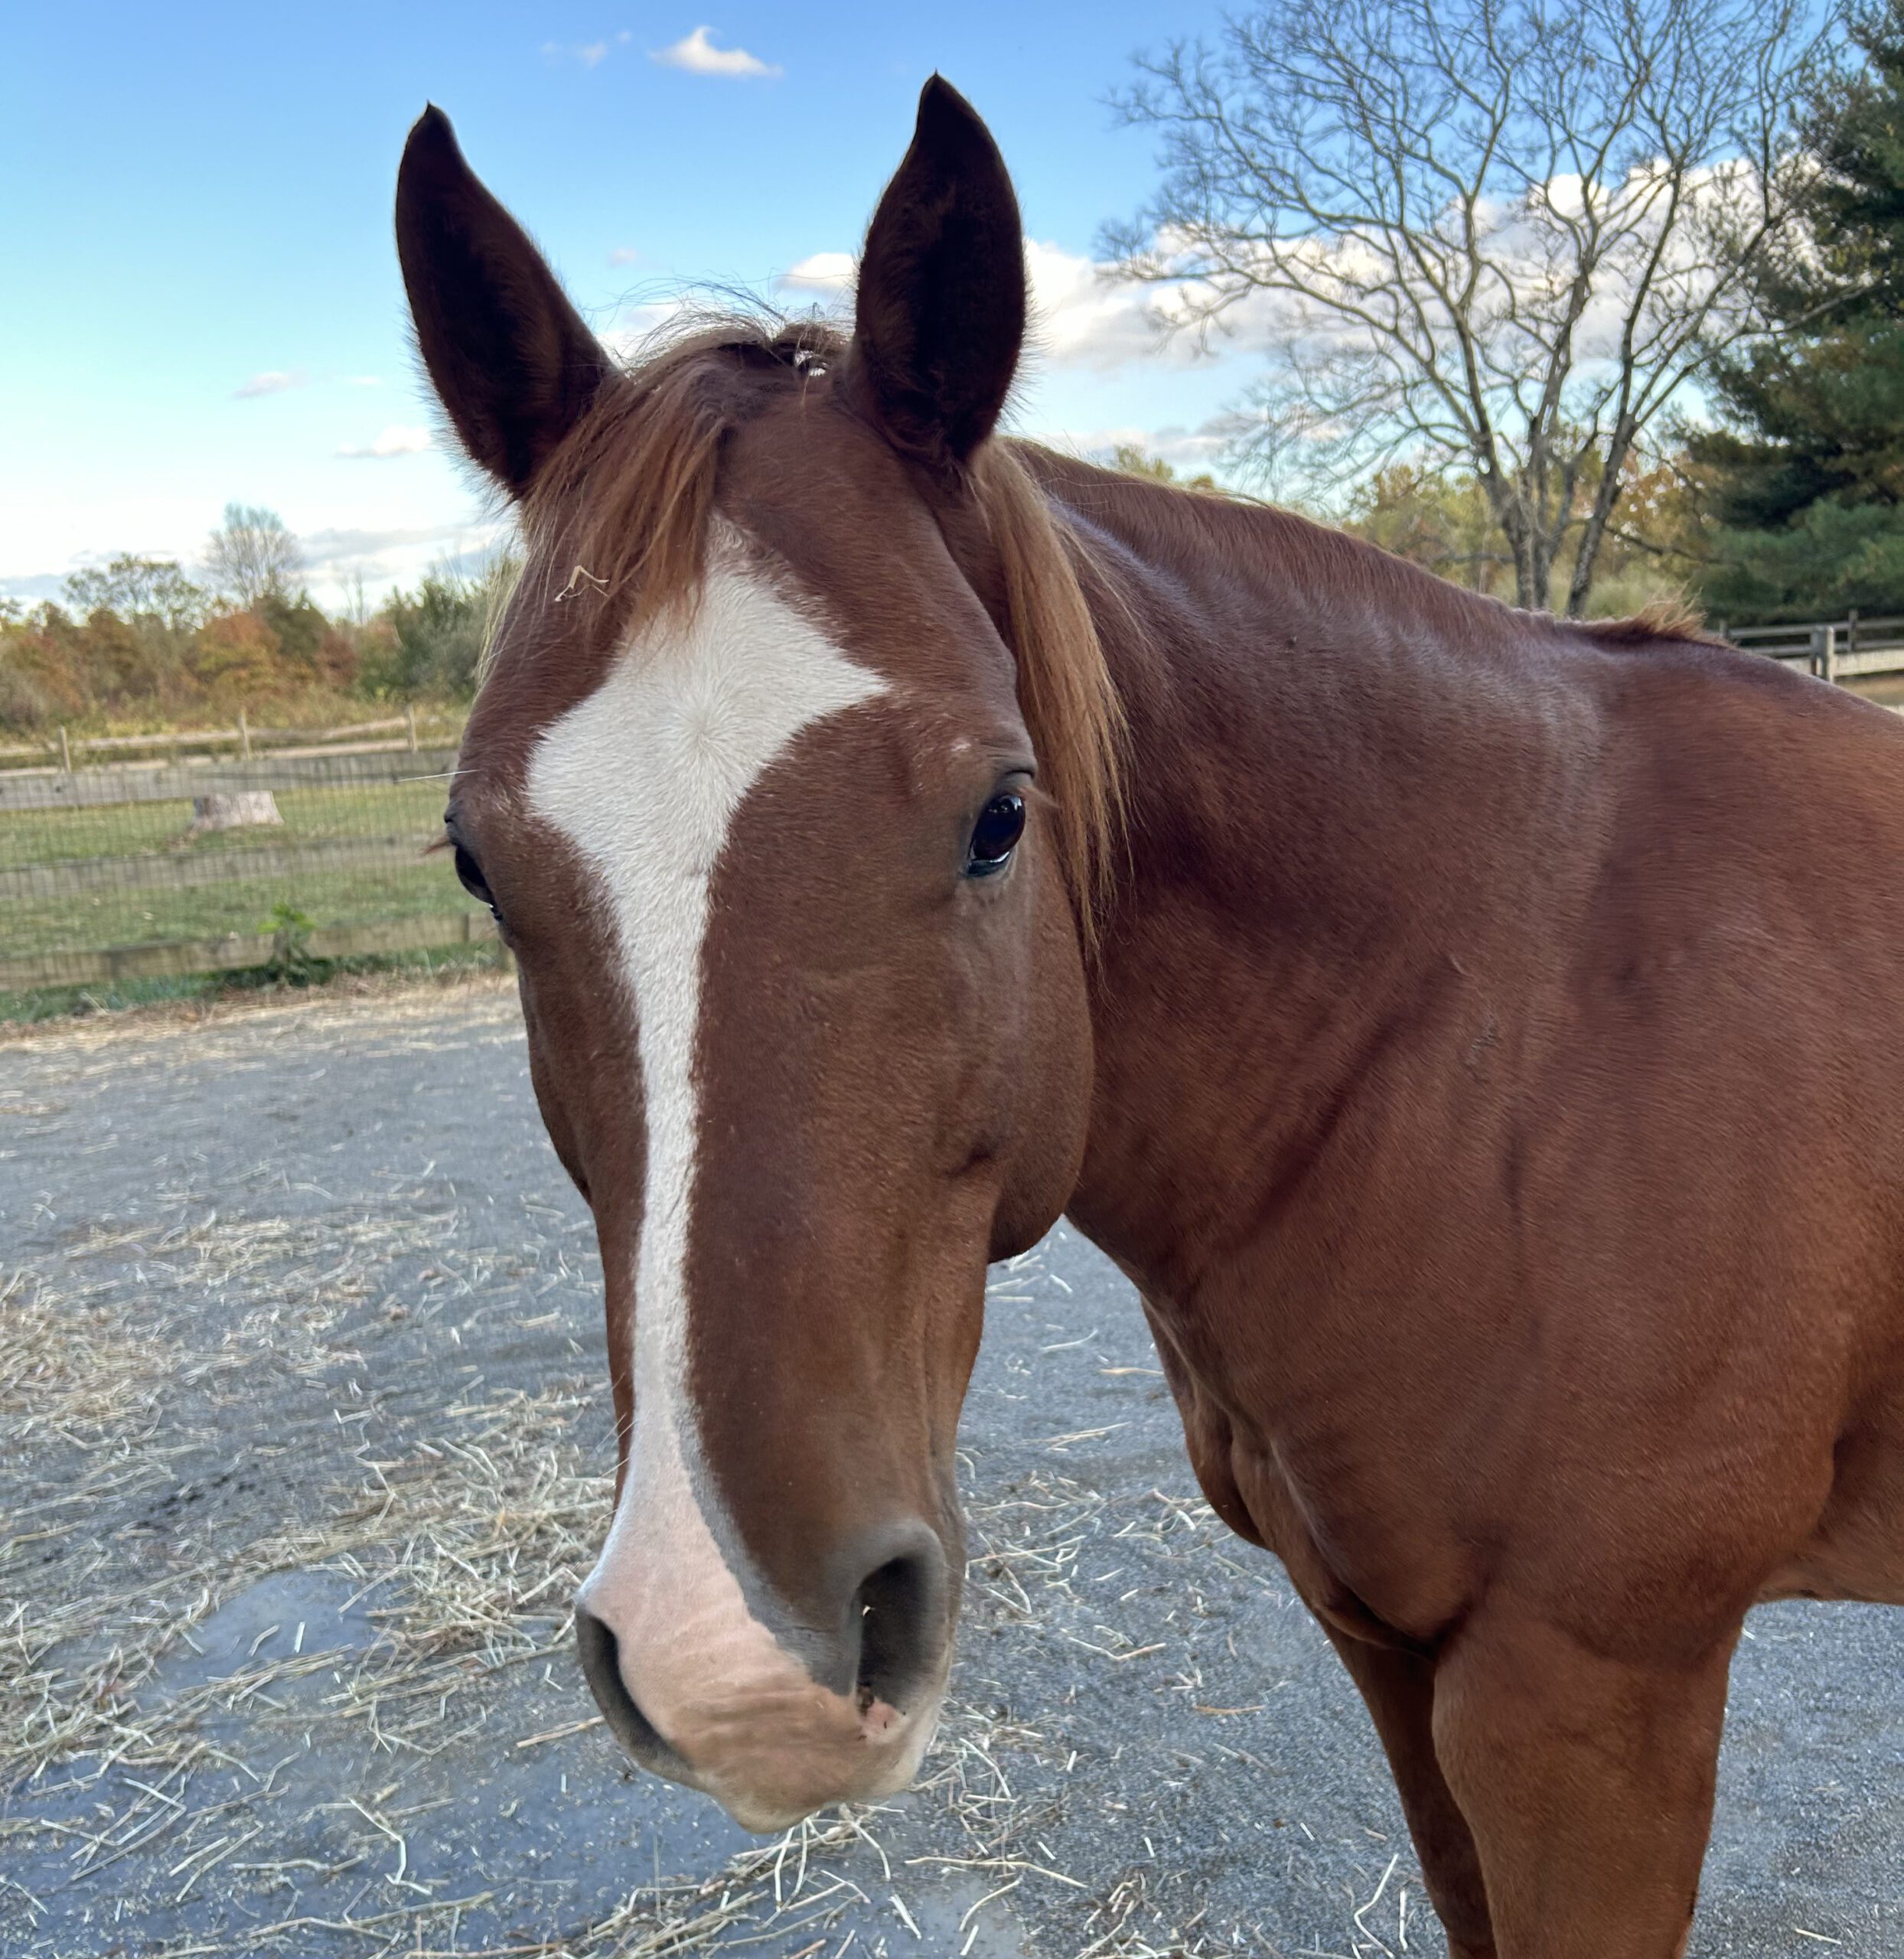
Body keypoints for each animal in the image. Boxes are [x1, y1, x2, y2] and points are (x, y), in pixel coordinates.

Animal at [397, 76, 1904, 1959]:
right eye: (477, 860)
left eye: (998, 814)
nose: (732, 1660)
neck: (1518, 1026)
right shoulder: (1392, 1655)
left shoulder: (1588, 1700)